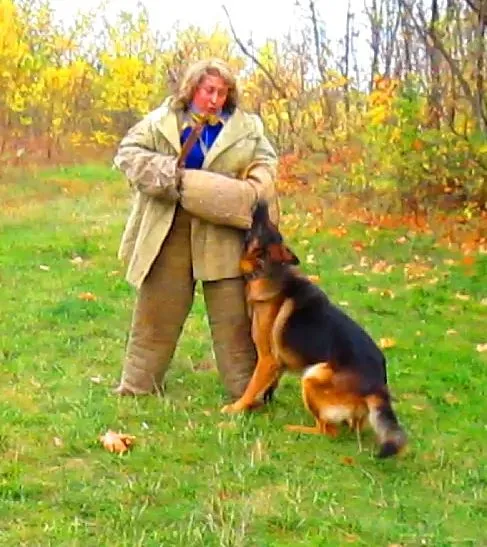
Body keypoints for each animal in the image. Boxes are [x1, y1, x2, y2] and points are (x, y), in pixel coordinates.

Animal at [221, 200, 407, 458]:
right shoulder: (277, 365)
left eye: (264, 225)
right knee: (352, 426)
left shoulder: (267, 359)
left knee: (327, 431)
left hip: (312, 376)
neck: (268, 269)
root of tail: (378, 386)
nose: (262, 202)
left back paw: (295, 429)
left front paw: (236, 408)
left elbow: (251, 388)